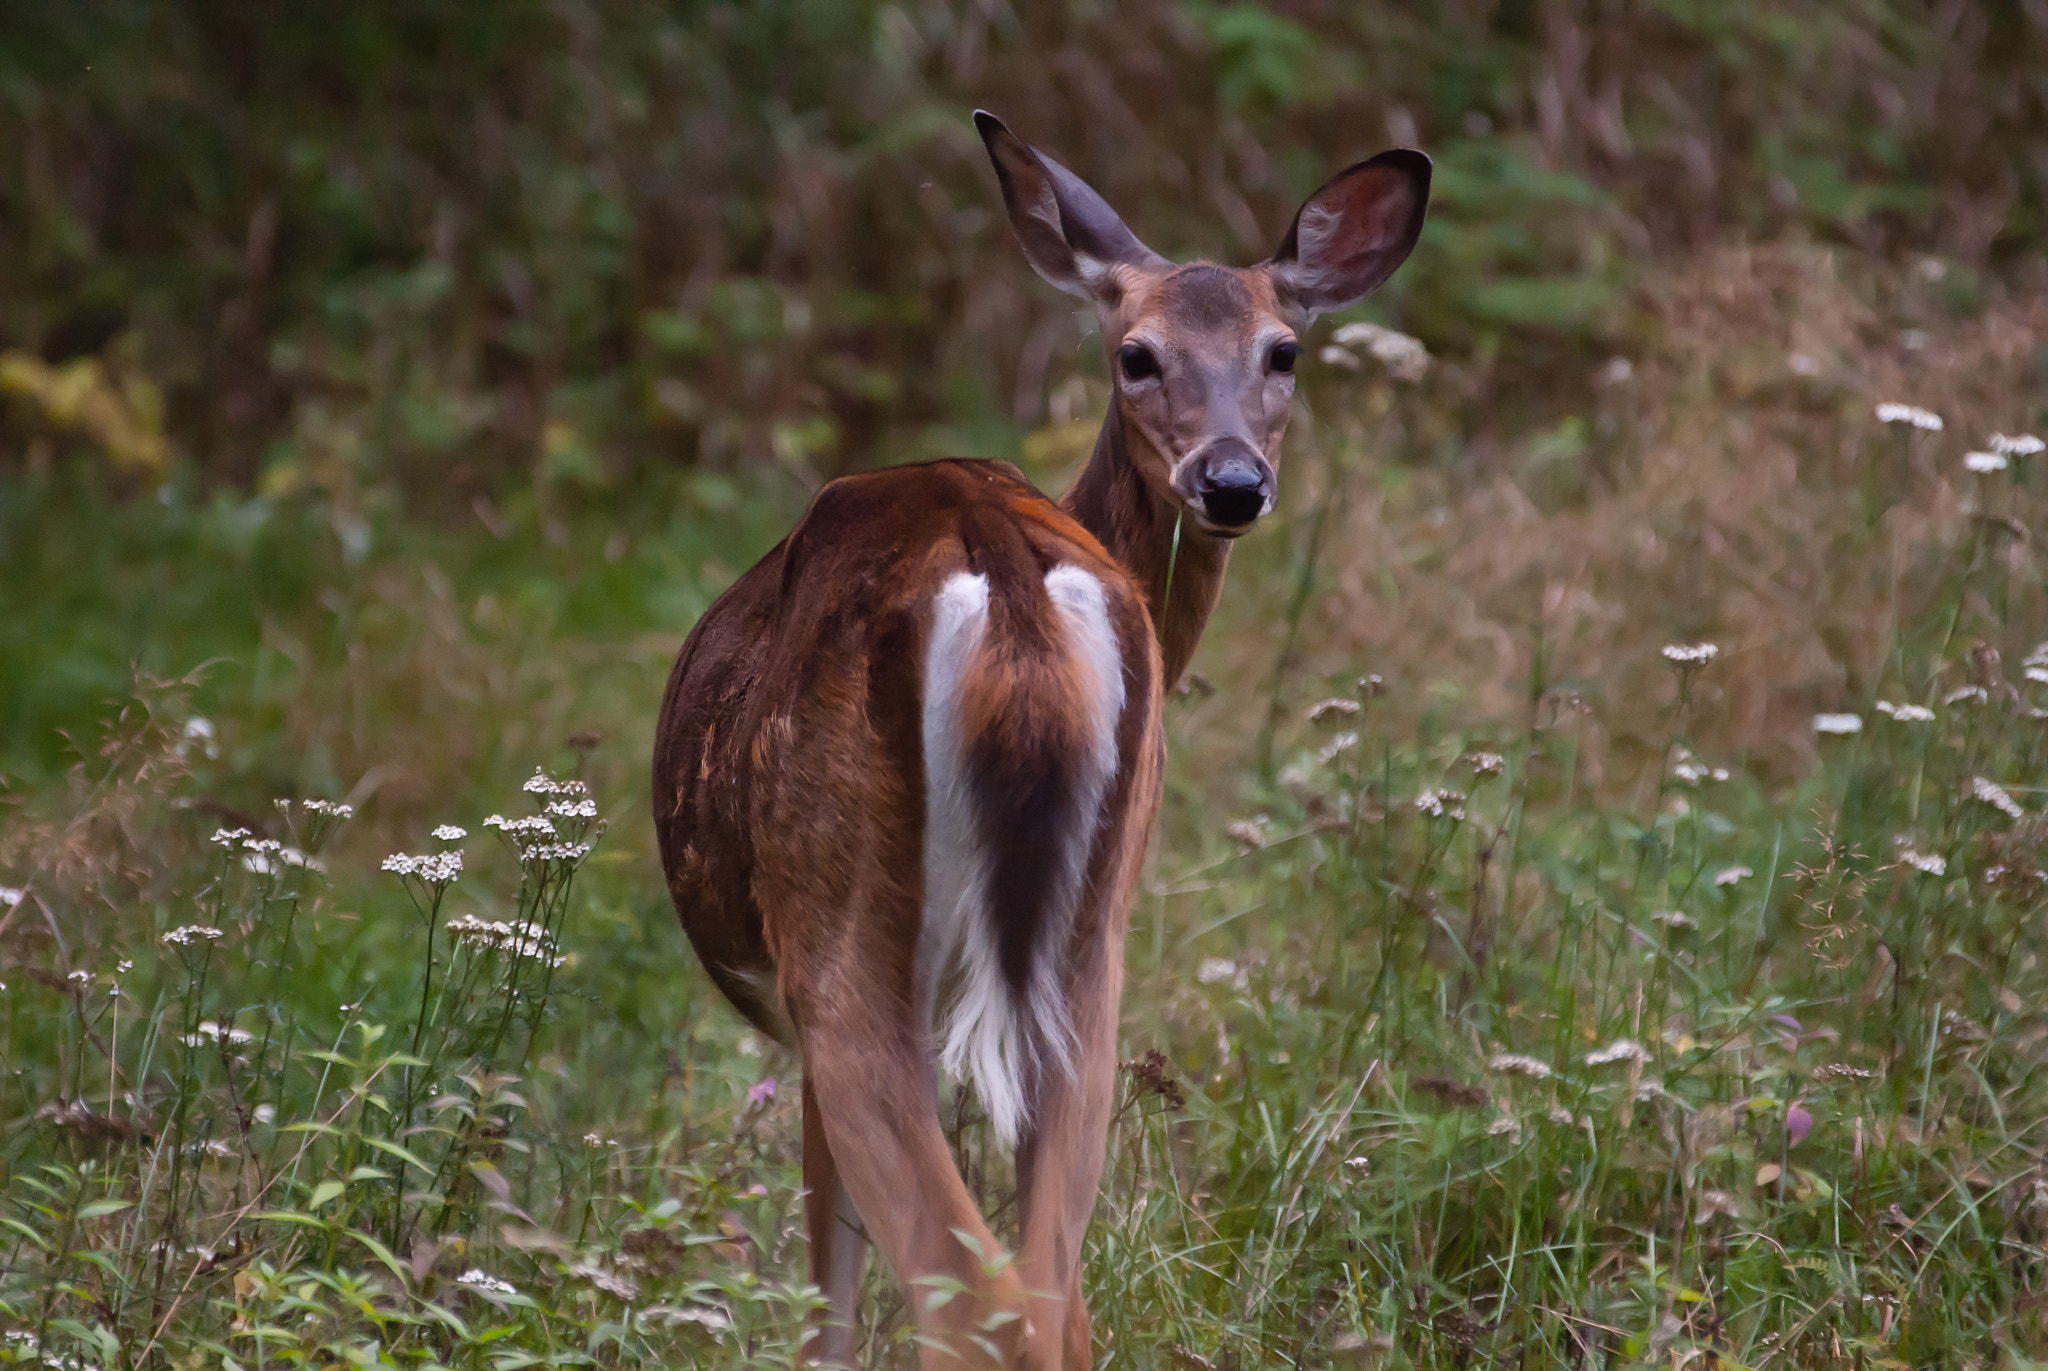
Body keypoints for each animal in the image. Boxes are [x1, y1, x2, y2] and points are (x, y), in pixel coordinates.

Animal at [651, 112, 1425, 1360]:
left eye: (1282, 352)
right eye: (1135, 354)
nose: (1231, 480)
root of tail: (1004, 570)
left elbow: (829, 1292)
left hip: (838, 938)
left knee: (978, 1307)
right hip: (1087, 958)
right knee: (1052, 1297)